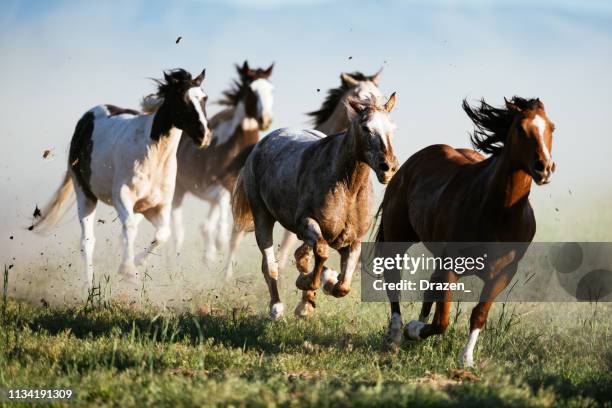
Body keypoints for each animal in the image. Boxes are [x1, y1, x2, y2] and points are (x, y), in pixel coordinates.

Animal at [31, 67, 213, 290]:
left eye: (204, 98)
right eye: (182, 99)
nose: (204, 136)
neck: (153, 154)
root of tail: (86, 118)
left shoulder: (156, 207)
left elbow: (163, 234)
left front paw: (137, 263)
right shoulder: (122, 197)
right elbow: (129, 227)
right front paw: (128, 271)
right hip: (85, 194)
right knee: (88, 241)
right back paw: (88, 287)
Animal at [232, 93, 400, 318]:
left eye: (392, 127)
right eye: (366, 127)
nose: (388, 167)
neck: (347, 187)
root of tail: (261, 144)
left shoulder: (353, 240)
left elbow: (343, 286)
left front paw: (323, 285)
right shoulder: (305, 223)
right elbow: (320, 252)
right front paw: (307, 282)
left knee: (301, 255)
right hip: (262, 217)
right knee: (270, 265)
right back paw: (277, 307)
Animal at [378, 96, 556, 366]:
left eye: (552, 128)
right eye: (521, 129)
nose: (544, 168)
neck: (498, 215)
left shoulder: (503, 273)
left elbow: (478, 313)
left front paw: (467, 358)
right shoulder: (451, 266)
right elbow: (442, 321)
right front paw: (414, 330)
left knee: (429, 287)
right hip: (398, 239)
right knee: (394, 281)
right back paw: (398, 333)